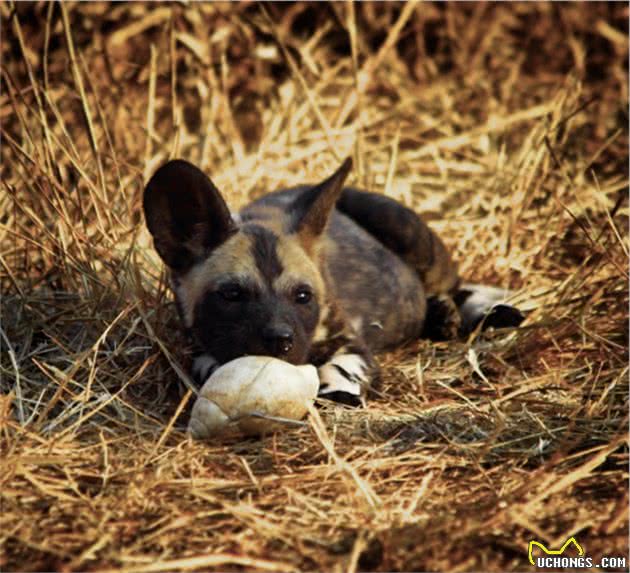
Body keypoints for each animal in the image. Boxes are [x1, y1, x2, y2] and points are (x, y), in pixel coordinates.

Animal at [144, 159, 524, 404]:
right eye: (232, 294)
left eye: (302, 295)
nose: (280, 340)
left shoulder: (351, 342)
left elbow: (342, 366)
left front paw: (338, 390)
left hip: (403, 227)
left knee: (454, 284)